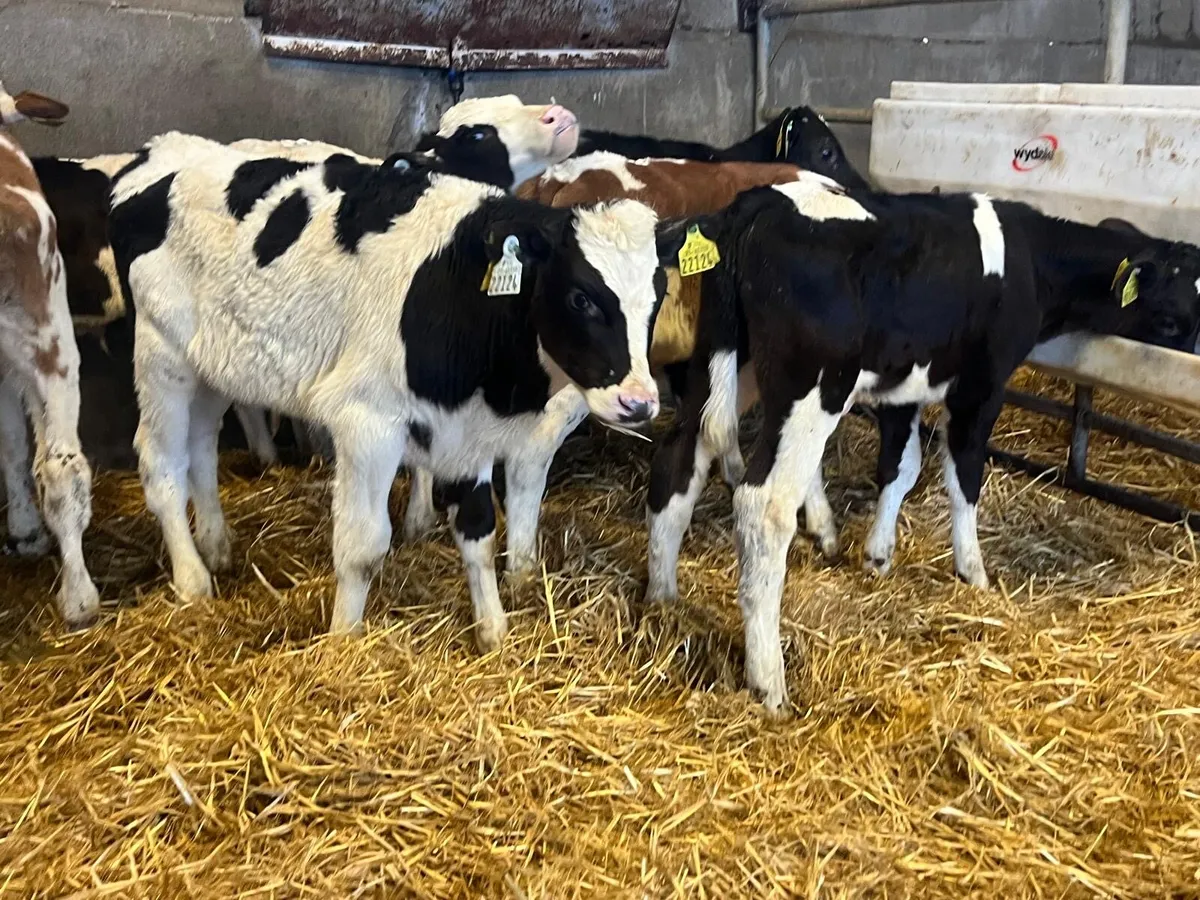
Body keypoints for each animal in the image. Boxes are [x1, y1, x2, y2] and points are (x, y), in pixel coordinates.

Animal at [108, 132, 684, 650]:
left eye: (658, 295)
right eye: (581, 297)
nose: (639, 402)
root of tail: (157, 160)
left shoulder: (466, 429)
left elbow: (478, 530)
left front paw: (492, 630)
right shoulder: (367, 421)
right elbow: (363, 547)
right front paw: (343, 641)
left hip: (211, 364)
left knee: (201, 451)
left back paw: (216, 547)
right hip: (160, 354)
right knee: (160, 464)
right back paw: (192, 579)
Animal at [645, 173, 1200, 712]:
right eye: (1172, 320)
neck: (1029, 259)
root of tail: (759, 202)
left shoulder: (903, 389)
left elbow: (901, 466)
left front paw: (878, 555)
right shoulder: (981, 385)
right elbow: (965, 476)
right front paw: (973, 571)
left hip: (721, 365)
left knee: (679, 458)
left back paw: (662, 596)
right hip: (813, 386)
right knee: (765, 507)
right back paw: (769, 684)